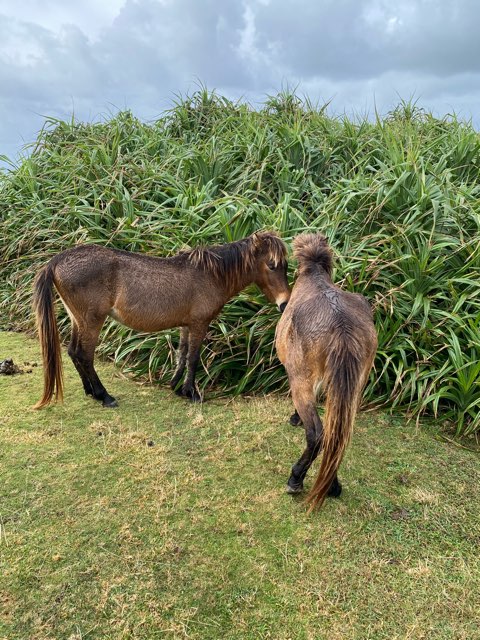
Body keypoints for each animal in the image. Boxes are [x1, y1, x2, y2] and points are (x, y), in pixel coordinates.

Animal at [34, 232, 288, 408]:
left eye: (286, 265)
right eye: (272, 265)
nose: (284, 303)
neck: (210, 274)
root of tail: (57, 260)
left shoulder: (186, 325)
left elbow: (182, 355)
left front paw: (175, 386)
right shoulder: (199, 324)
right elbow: (193, 358)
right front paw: (192, 393)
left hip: (77, 320)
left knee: (73, 352)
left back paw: (90, 391)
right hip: (92, 321)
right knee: (84, 355)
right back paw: (104, 395)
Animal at [276, 234, 376, 510]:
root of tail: (340, 324)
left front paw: (295, 418)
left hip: (300, 381)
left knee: (317, 434)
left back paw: (296, 479)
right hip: (353, 388)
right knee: (337, 433)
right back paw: (331, 484)